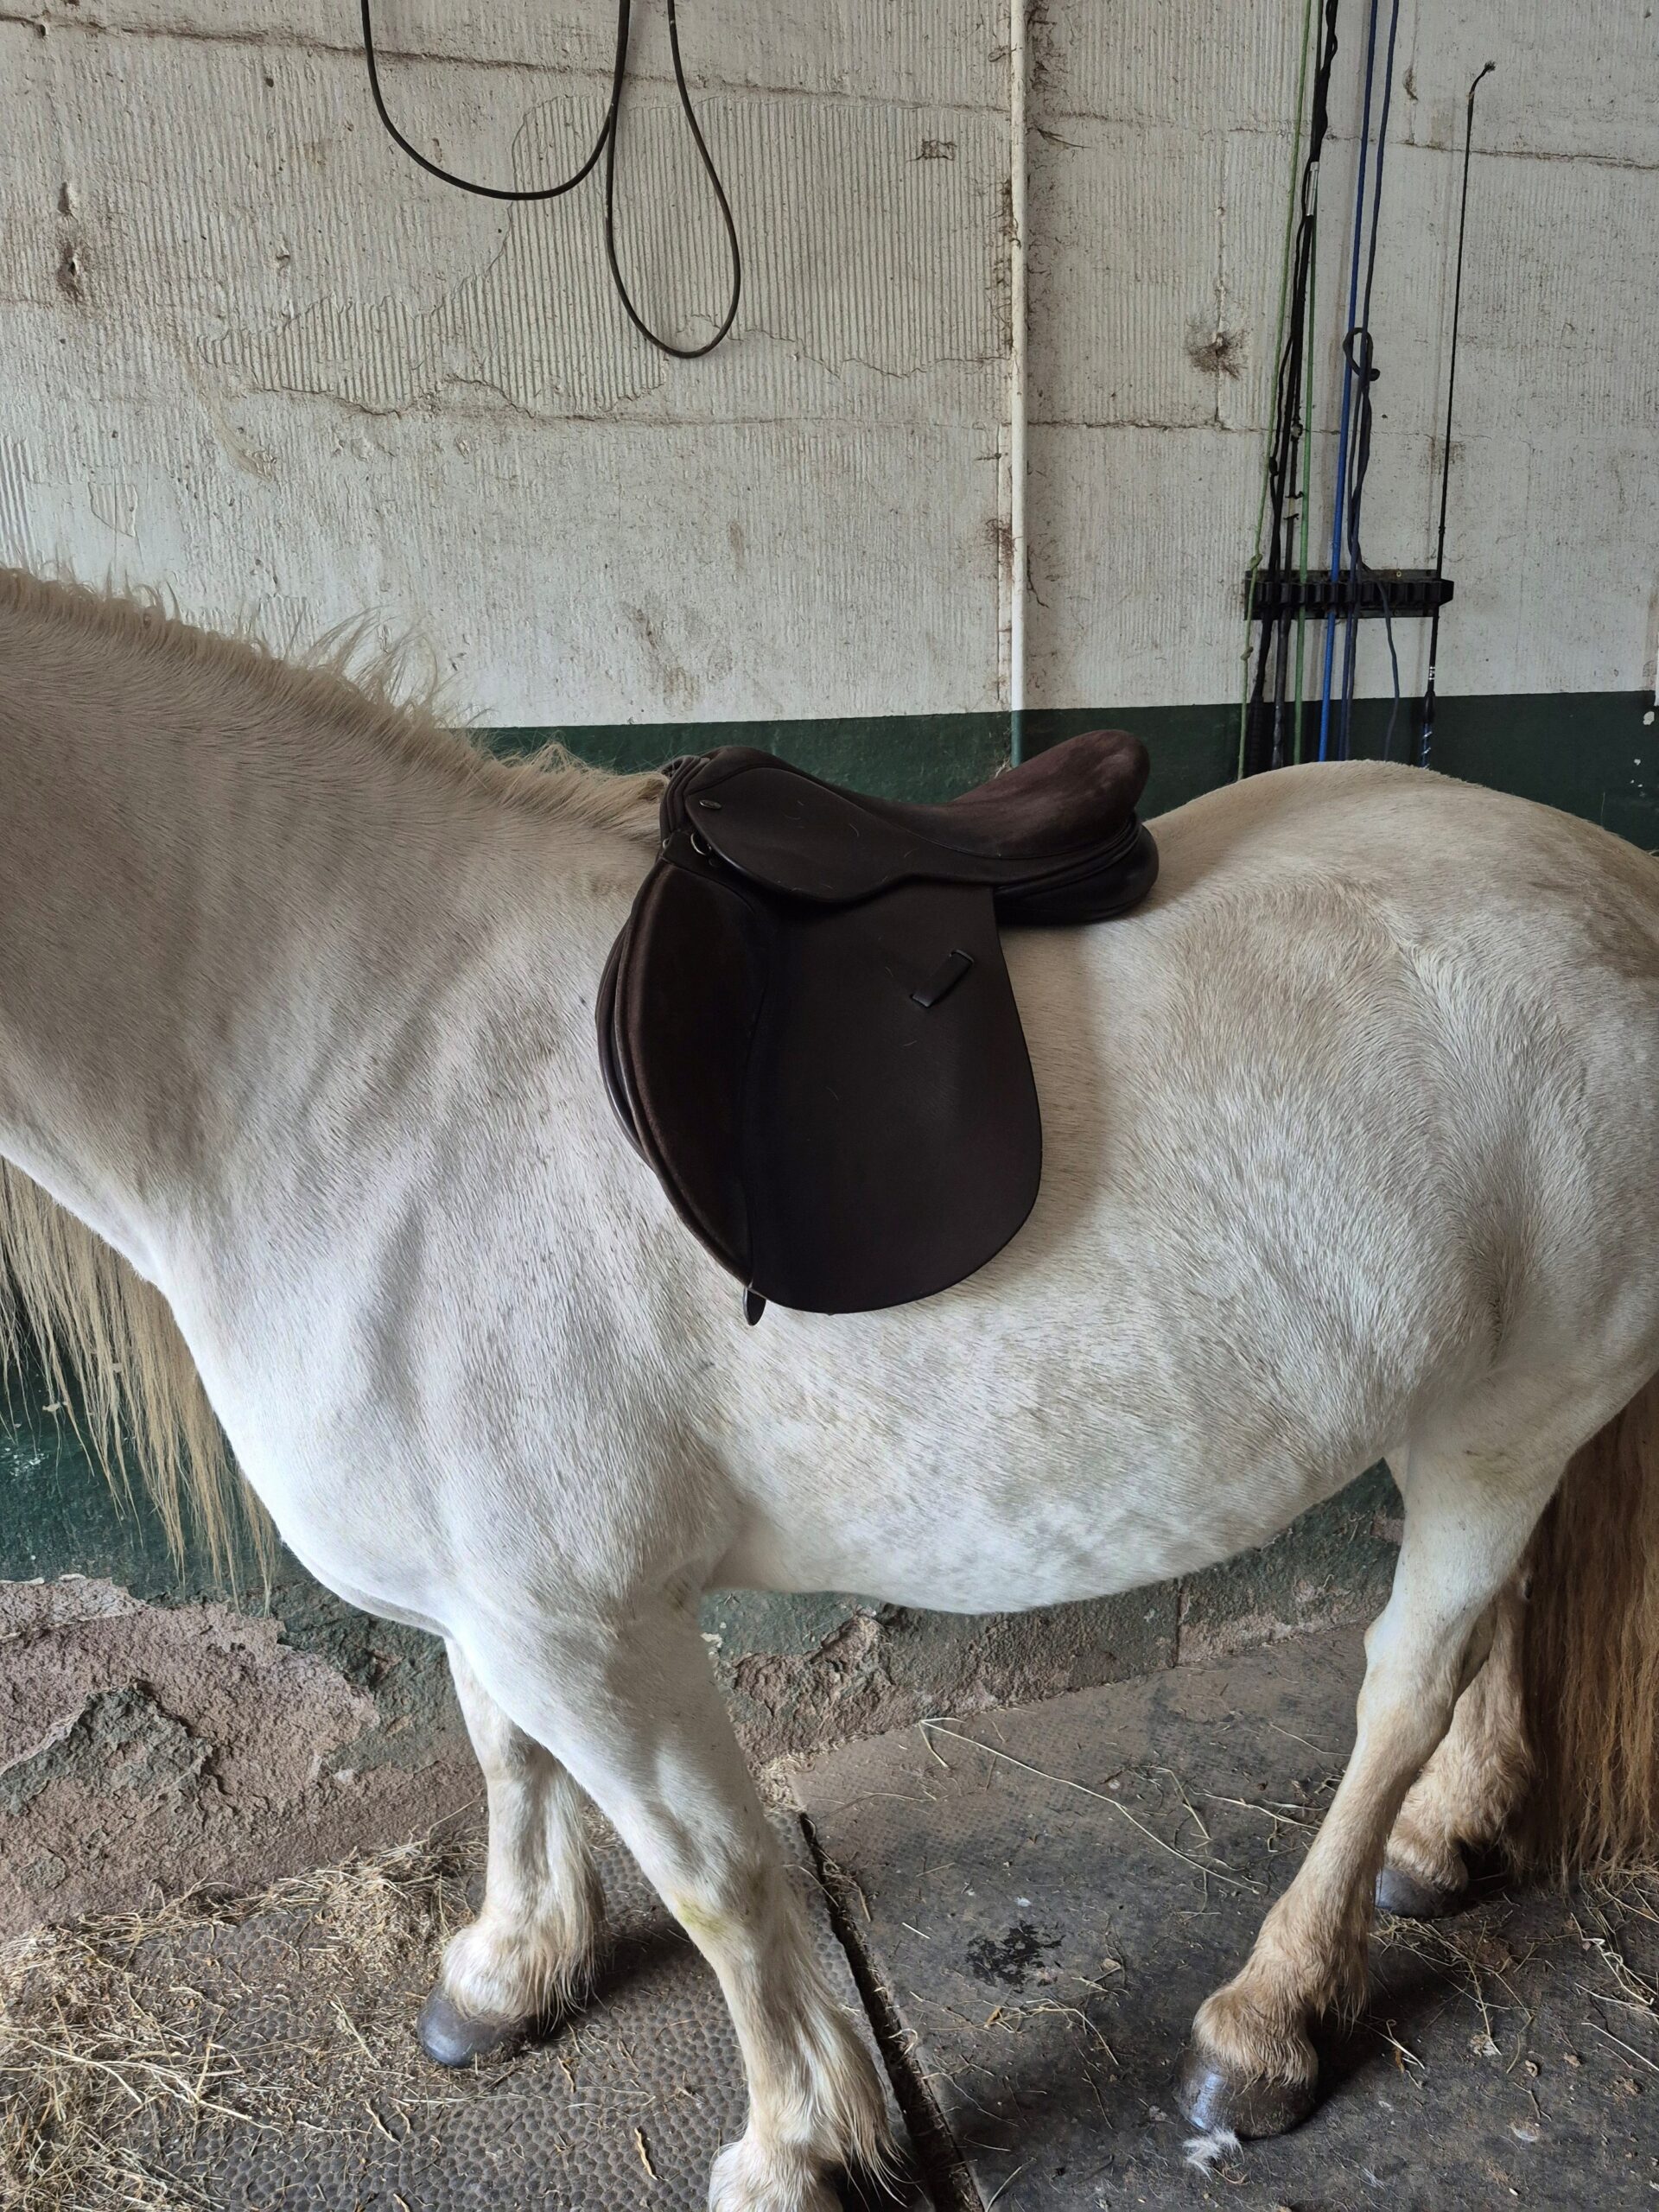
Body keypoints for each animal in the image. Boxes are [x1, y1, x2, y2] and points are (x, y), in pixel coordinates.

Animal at [1, 565, 1656, 2208]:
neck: (359, 1064)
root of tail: (1617, 885)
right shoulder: (498, 1603)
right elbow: (505, 1756)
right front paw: (511, 1973)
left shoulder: (587, 1628)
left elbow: (715, 1875)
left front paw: (800, 2142)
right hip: (1462, 1411)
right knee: (1498, 1626)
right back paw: (1445, 1845)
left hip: (1512, 1418)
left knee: (1409, 1681)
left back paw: (1271, 2022)